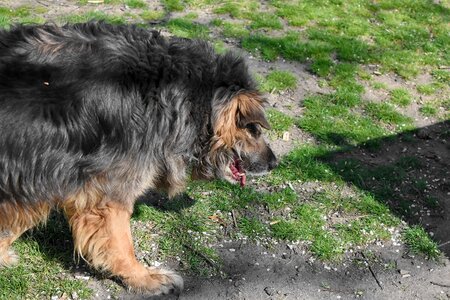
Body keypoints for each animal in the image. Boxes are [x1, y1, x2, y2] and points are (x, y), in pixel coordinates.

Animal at [0, 22, 278, 296]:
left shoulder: (39, 172)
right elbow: (122, 245)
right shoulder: (104, 192)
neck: (171, 95)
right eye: (254, 129)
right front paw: (145, 279)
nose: (275, 163)